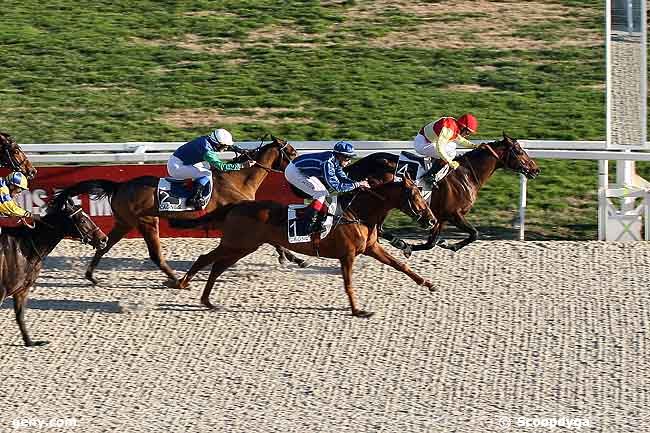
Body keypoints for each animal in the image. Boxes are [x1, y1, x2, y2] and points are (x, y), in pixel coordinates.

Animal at [0, 197, 106, 346]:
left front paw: (30, 342)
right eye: (82, 220)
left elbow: (20, 315)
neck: (24, 248)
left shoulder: (23, 289)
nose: (104, 239)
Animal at [54, 135, 298, 286]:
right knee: (155, 255)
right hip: (147, 221)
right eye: (293, 153)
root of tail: (120, 185)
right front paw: (293, 258)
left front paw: (290, 258)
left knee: (104, 245)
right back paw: (176, 279)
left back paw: (91, 276)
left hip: (125, 222)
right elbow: (273, 241)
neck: (238, 180)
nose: (299, 167)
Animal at [176, 176, 436, 318]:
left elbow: (400, 265)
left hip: (242, 247)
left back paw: (207, 300)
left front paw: (428, 283)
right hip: (237, 244)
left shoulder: (371, 248)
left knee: (217, 266)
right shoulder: (347, 255)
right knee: (205, 259)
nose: (432, 220)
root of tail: (236, 205)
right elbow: (349, 284)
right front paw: (357, 311)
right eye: (415, 194)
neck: (358, 214)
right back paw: (182, 283)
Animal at [346, 132, 540, 253]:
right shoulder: (454, 214)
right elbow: (474, 233)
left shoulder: (440, 217)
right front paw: (450, 246)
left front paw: (441, 243)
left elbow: (431, 243)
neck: (467, 175)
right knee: (378, 228)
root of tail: (360, 164)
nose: (536, 170)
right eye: (519, 151)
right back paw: (398, 242)